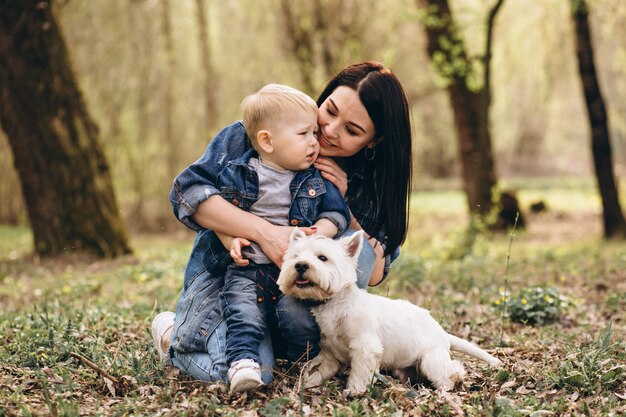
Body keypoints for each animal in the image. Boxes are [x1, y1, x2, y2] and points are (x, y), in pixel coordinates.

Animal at [276, 229, 500, 394]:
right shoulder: (329, 354)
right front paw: (305, 384)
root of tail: (442, 332)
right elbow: (316, 370)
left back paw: (452, 383)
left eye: (322, 258)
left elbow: (360, 373)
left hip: (431, 358)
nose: (301, 265)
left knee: (450, 371)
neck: (335, 303)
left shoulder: (365, 347)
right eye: (295, 256)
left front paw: (354, 392)